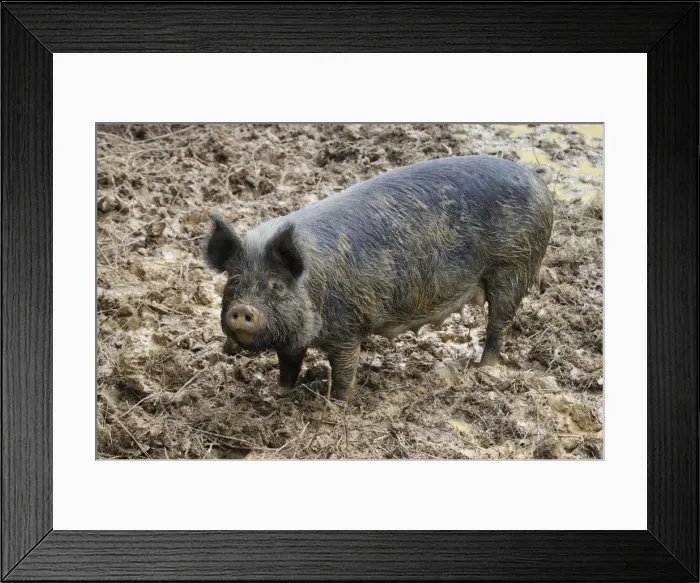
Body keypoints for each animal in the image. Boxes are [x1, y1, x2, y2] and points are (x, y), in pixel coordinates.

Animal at [204, 155, 554, 400]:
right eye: (234, 281)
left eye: (276, 285)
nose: (243, 309)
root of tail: (533, 175)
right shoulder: (293, 340)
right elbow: (288, 365)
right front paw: (278, 393)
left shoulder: (348, 327)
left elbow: (344, 372)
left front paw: (337, 405)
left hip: (513, 266)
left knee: (500, 322)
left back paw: (484, 368)